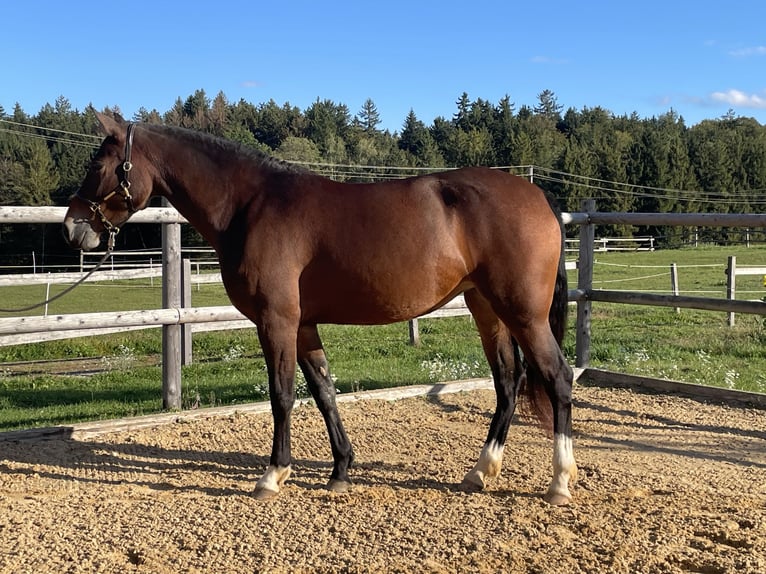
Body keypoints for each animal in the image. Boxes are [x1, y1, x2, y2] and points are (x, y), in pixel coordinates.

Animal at [63, 112, 577, 505]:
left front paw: (273, 475)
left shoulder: (276, 321)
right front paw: (341, 470)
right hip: (487, 308)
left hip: (523, 313)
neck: (250, 205)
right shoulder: (303, 324)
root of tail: (538, 195)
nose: (72, 228)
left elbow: (282, 394)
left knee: (557, 377)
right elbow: (324, 391)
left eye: (99, 163)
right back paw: (481, 470)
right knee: (508, 381)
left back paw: (559, 482)